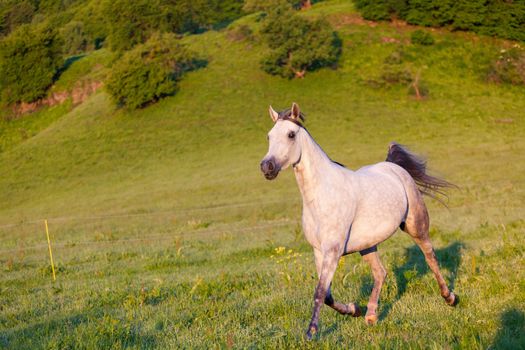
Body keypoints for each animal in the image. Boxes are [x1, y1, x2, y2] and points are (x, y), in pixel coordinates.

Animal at [260, 103, 456, 340]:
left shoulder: (333, 252)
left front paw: (311, 333)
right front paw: (355, 309)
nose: (267, 167)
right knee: (380, 272)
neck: (322, 194)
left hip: (416, 227)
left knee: (430, 258)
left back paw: (450, 298)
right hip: (367, 245)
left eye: (290, 134)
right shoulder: (319, 252)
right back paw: (370, 315)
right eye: (269, 136)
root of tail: (393, 167)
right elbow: (327, 295)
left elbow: (319, 292)